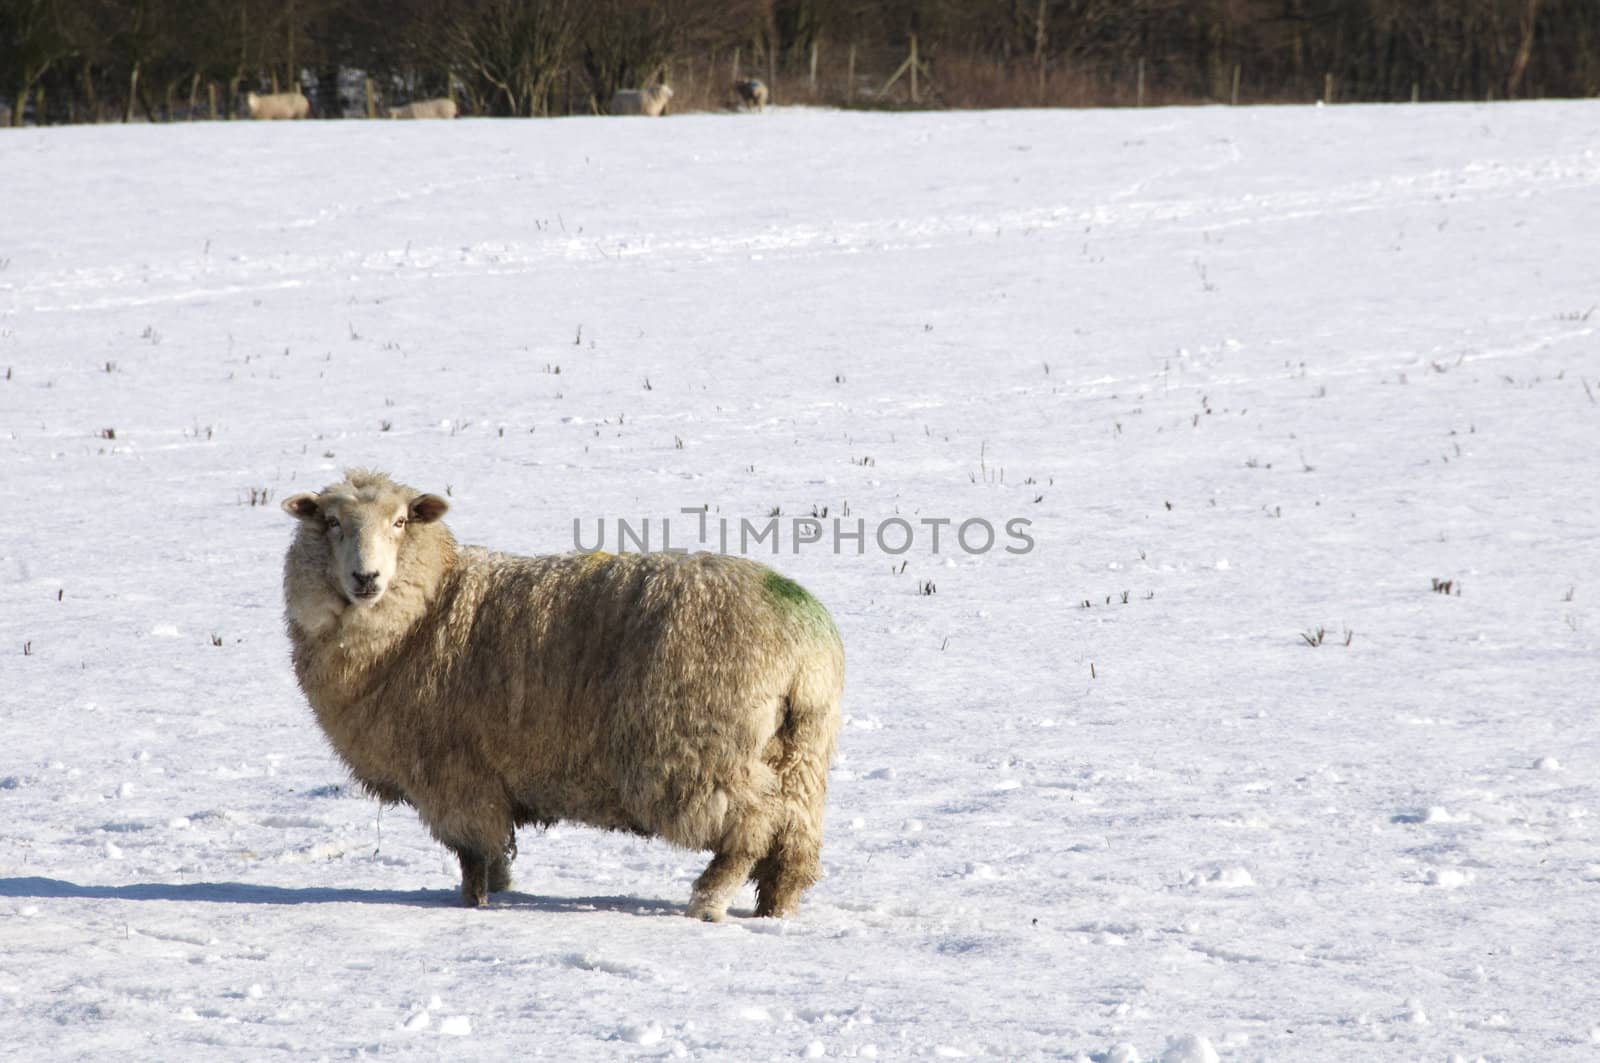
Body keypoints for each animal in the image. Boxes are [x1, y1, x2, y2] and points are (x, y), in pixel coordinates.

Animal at [280, 470, 844, 915]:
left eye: (400, 522)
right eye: (331, 522)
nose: (366, 577)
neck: (426, 612)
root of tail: (803, 647)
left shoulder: (457, 774)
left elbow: (474, 854)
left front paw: (474, 904)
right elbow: (496, 850)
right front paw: (502, 890)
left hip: (699, 754)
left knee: (753, 824)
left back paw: (708, 901)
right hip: (801, 753)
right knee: (792, 837)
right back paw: (775, 909)